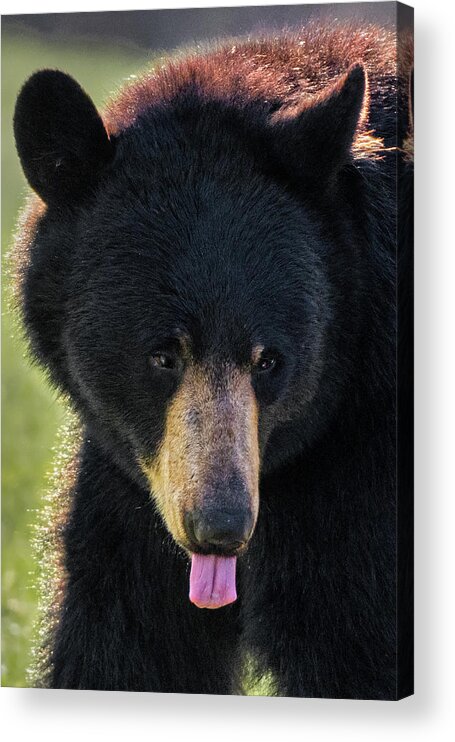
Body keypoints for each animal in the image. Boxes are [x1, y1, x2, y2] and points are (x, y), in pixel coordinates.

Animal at [13, 21, 414, 696]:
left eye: (270, 360)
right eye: (162, 356)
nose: (221, 527)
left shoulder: (363, 478)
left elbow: (354, 637)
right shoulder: (132, 479)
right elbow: (126, 638)